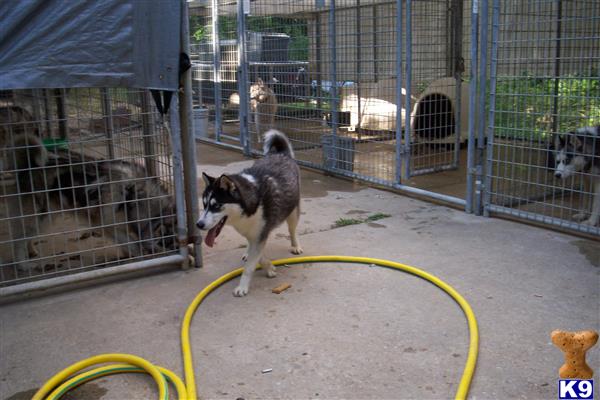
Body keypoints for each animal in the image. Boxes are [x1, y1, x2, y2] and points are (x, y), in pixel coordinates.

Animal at [197, 130, 302, 296]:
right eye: (205, 204)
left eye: (217, 205)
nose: (199, 224)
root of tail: (281, 154)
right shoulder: (253, 233)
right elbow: (258, 256)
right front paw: (269, 267)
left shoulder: (260, 234)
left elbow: (251, 265)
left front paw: (242, 286)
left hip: (292, 212)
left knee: (292, 230)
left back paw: (295, 245)